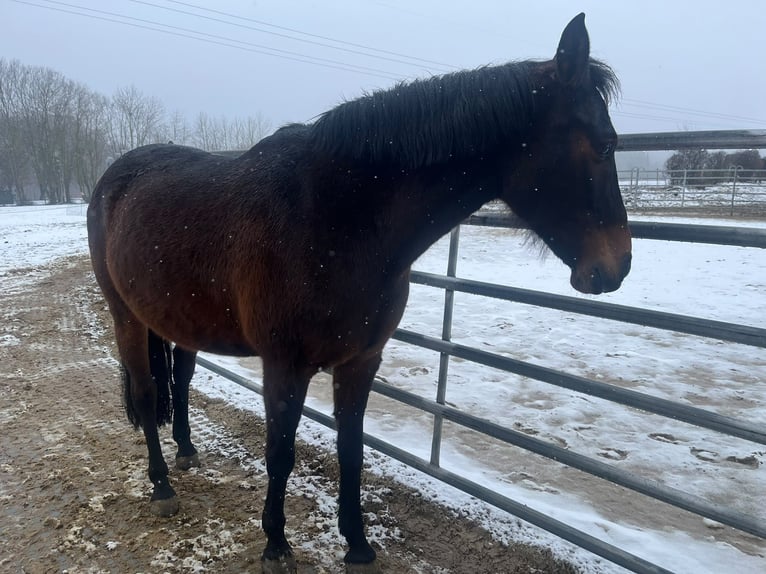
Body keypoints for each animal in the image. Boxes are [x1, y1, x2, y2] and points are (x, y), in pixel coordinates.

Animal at [87, 13, 630, 574]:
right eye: (605, 143)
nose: (616, 267)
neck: (337, 216)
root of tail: (112, 179)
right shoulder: (285, 366)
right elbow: (280, 452)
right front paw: (276, 545)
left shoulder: (361, 360)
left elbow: (353, 449)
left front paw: (358, 543)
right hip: (125, 315)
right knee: (147, 392)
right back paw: (161, 486)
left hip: (179, 320)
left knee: (182, 376)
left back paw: (187, 451)